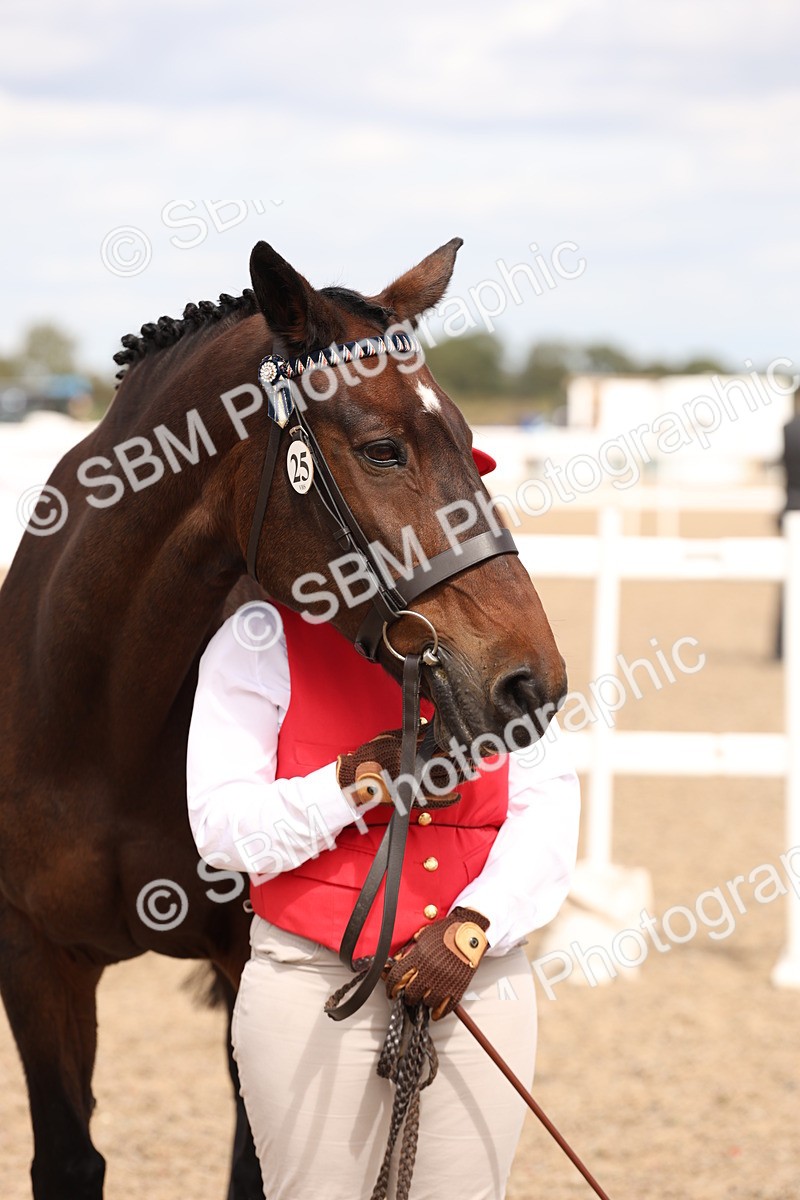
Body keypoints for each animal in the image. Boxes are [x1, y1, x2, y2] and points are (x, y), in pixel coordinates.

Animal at [0, 238, 567, 1199]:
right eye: (382, 450)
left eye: (475, 448)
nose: (534, 682)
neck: (100, 722)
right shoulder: (36, 960)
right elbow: (69, 1159)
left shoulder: (241, 964)